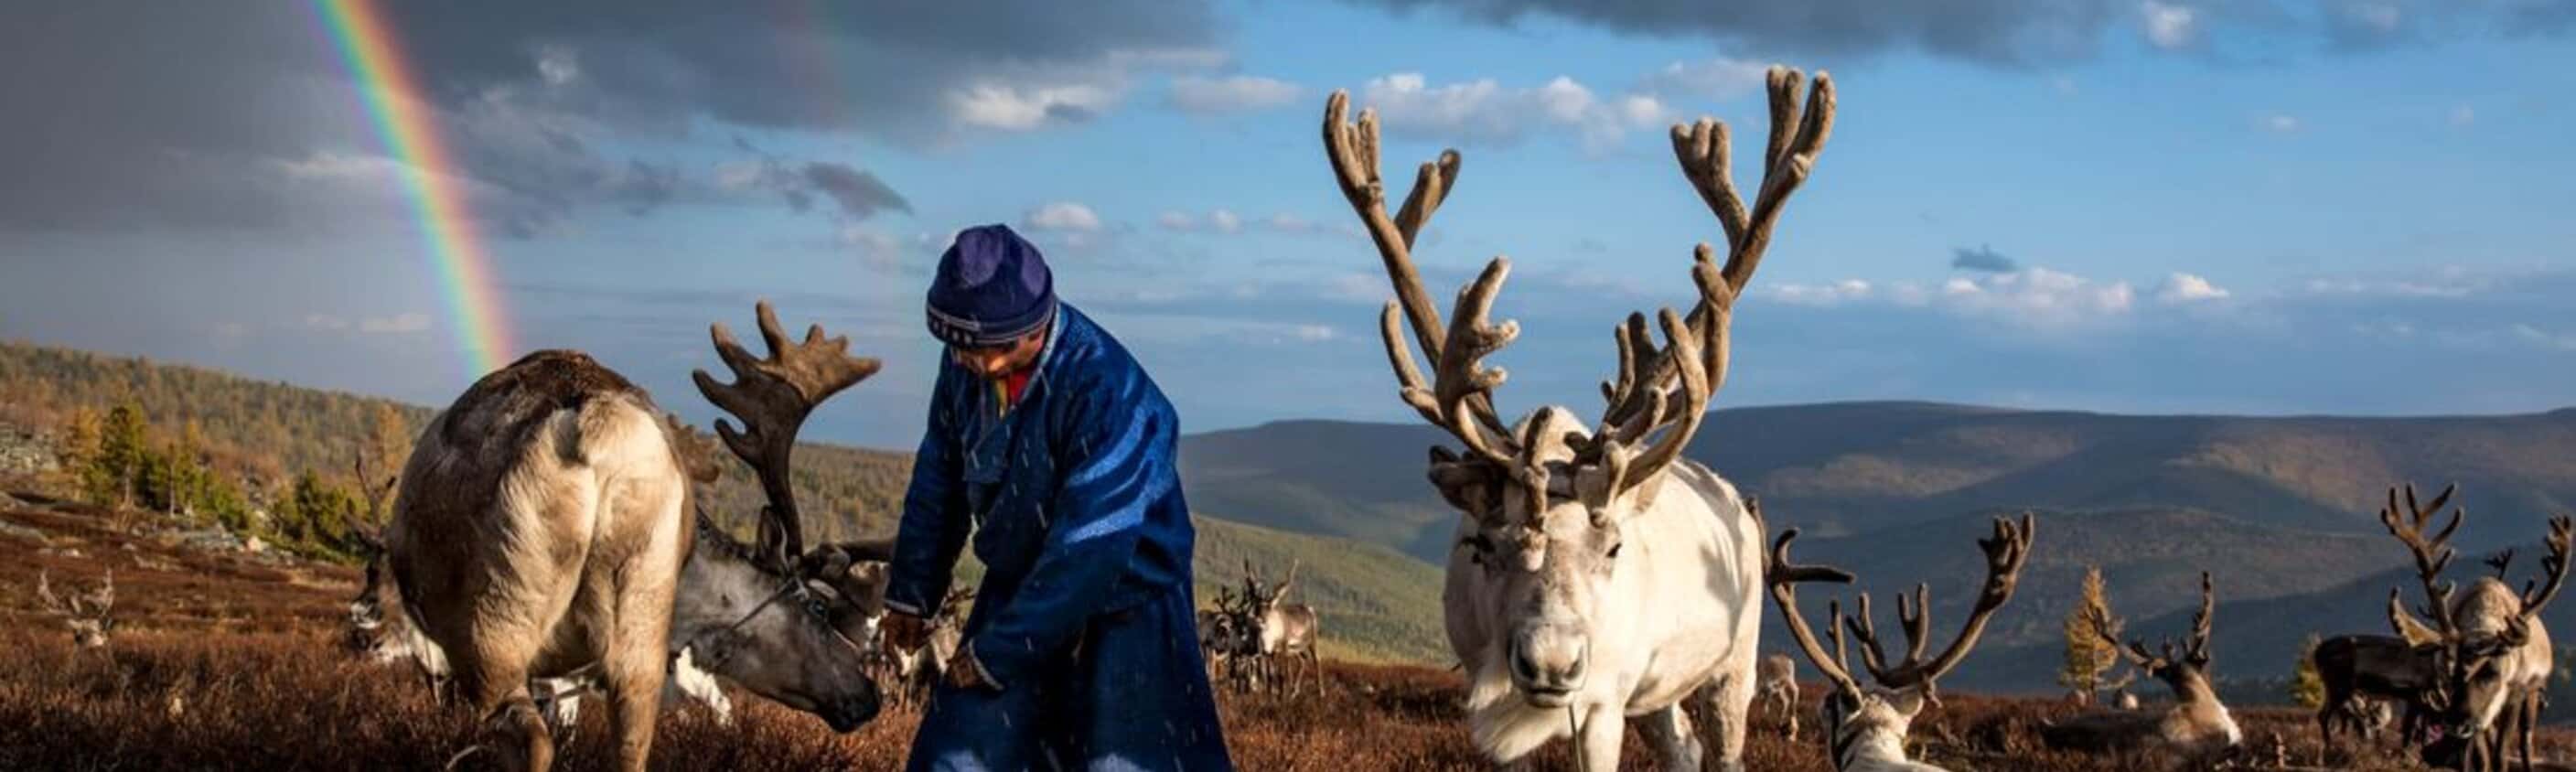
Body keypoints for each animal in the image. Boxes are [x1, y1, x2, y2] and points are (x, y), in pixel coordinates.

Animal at [380, 302, 893, 772]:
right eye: (820, 607)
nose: (870, 695)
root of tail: (599, 432)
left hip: (496, 621)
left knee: (531, 740)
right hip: (638, 601)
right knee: (630, 745)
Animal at [1242, 559, 1324, 697]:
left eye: (1269, 608)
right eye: (1257, 607)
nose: (1260, 620)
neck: (1269, 637)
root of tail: (1310, 609)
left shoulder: (1284, 648)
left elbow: (1284, 673)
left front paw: (1282, 695)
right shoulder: (1268, 653)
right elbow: (1269, 674)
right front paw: (1270, 693)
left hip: (1312, 641)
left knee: (1316, 659)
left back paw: (1321, 692)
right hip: (1297, 649)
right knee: (1303, 660)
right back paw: (1295, 691)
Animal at [1322, 64, 1836, 772]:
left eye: (1613, 546)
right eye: (1483, 545)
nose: (1552, 663)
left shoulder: (1602, 703)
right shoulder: (1490, 703)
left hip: (1734, 661)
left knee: (1722, 744)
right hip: (1655, 692)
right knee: (1681, 747)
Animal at [2378, 482, 2573, 772]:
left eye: (2491, 673)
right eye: (2448, 675)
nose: (2456, 724)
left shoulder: (2514, 694)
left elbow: (2501, 754)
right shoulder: (2477, 719)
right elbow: (2482, 758)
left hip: (2532, 694)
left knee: (2526, 742)